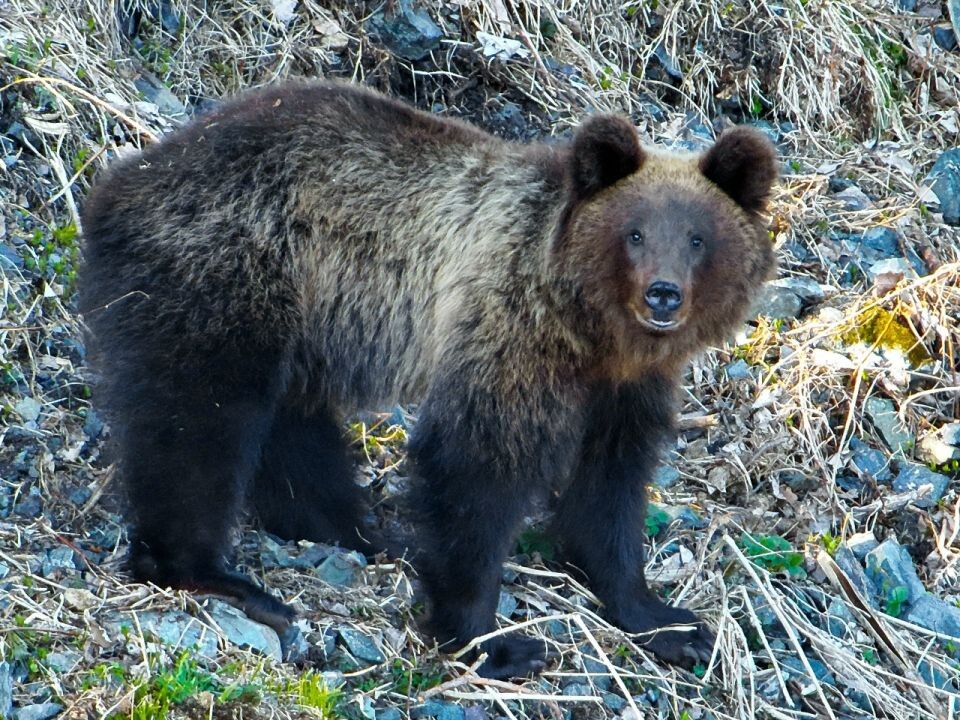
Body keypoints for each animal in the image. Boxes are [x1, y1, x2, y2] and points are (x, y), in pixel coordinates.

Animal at [79, 80, 777, 679]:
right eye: (634, 233)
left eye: (697, 238)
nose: (663, 295)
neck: (590, 331)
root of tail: (122, 180)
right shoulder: (507, 333)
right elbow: (475, 466)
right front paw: (492, 640)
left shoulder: (625, 387)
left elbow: (610, 485)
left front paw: (667, 621)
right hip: (224, 271)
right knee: (197, 424)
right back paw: (218, 575)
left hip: (303, 319)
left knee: (292, 430)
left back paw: (360, 530)